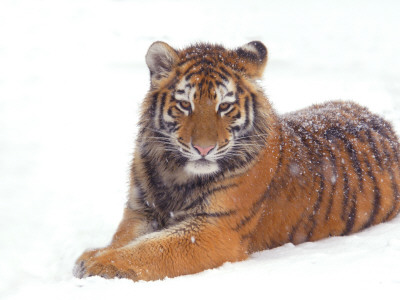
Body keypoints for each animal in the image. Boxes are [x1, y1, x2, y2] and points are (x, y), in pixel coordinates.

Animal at [73, 41, 400, 280]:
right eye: (184, 104)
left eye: (225, 106)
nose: (203, 148)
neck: (176, 174)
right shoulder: (141, 211)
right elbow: (124, 238)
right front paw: (94, 254)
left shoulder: (216, 228)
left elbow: (149, 249)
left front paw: (97, 264)